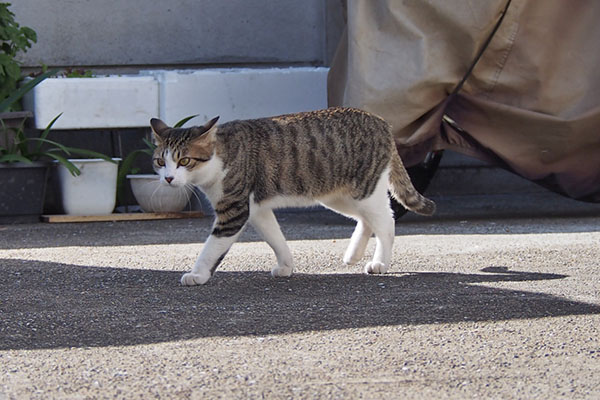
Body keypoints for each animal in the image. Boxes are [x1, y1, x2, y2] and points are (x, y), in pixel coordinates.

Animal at [148, 108, 434, 286]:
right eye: (161, 162)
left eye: (184, 161)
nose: (169, 178)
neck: (221, 155)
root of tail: (381, 121)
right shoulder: (258, 209)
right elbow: (275, 238)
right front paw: (286, 265)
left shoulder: (234, 210)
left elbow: (210, 248)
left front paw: (197, 274)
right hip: (338, 195)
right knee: (366, 220)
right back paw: (353, 254)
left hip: (364, 189)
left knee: (386, 222)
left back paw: (380, 262)